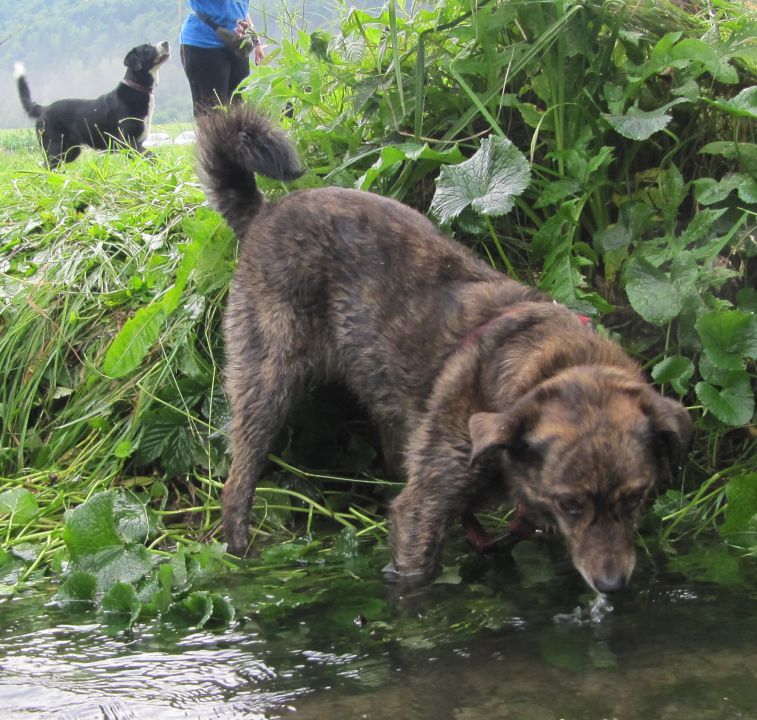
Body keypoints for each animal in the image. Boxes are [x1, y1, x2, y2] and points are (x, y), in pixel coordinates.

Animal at [15, 41, 170, 168]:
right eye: (146, 48)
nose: (166, 42)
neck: (136, 88)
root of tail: (43, 109)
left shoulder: (136, 144)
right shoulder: (127, 142)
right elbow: (151, 157)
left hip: (70, 151)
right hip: (54, 147)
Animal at [196, 107, 692, 592]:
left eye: (637, 497)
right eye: (570, 503)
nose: (612, 585)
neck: (549, 363)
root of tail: (264, 212)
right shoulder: (422, 510)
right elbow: (416, 571)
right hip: (267, 385)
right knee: (237, 484)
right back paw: (241, 558)